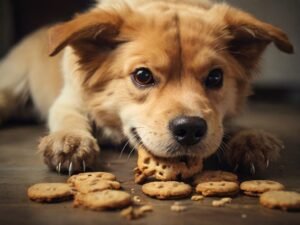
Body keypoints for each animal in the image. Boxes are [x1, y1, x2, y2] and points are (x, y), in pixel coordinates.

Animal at [0, 0, 292, 175]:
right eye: (142, 76)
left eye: (215, 77)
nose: (190, 129)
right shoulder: (69, 100)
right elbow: (68, 117)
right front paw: (69, 140)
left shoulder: (216, 121)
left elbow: (223, 127)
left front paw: (250, 138)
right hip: (12, 86)